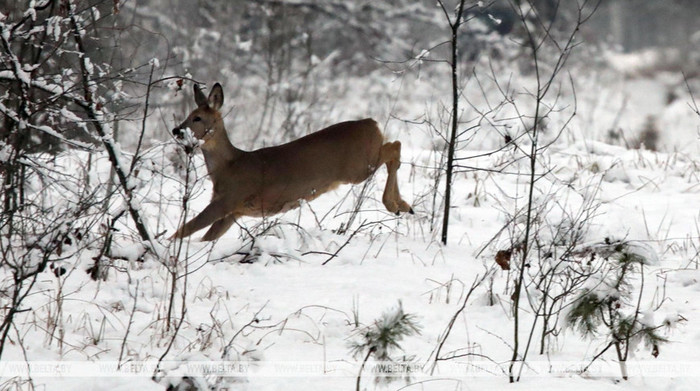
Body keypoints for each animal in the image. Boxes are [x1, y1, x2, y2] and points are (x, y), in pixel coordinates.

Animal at [170, 83, 410, 242]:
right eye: (189, 114)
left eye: (197, 118)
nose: (176, 130)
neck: (228, 166)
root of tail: (372, 123)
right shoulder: (234, 211)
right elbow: (206, 237)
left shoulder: (229, 198)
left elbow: (187, 228)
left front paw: (166, 247)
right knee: (394, 147)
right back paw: (405, 206)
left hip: (358, 166)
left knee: (394, 146)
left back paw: (395, 204)